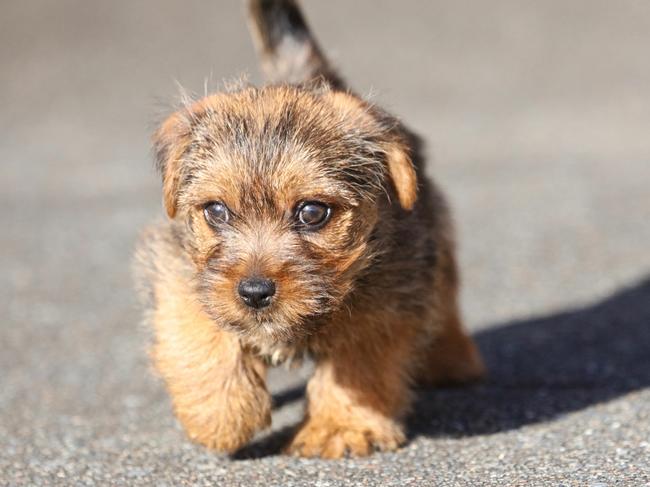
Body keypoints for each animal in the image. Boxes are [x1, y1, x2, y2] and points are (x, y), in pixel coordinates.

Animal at [135, 0, 480, 460]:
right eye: (217, 211)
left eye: (313, 212)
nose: (254, 292)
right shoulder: (177, 267)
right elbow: (196, 329)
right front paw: (221, 414)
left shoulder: (391, 291)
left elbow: (357, 361)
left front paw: (342, 428)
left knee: (445, 296)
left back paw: (452, 359)